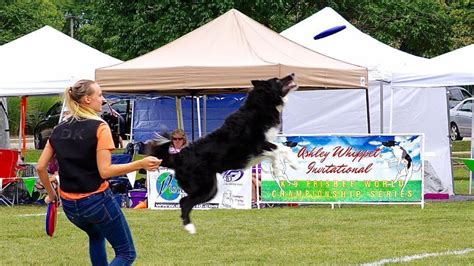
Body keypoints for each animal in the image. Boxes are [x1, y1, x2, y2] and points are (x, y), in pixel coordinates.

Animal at [146, 74, 298, 234]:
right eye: (277, 80)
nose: (292, 74)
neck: (261, 105)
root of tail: (178, 157)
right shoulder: (258, 145)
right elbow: (280, 148)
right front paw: (293, 165)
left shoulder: (262, 150)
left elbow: (279, 151)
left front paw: (281, 168)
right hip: (206, 187)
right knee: (184, 203)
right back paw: (190, 228)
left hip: (210, 189)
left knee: (184, 201)